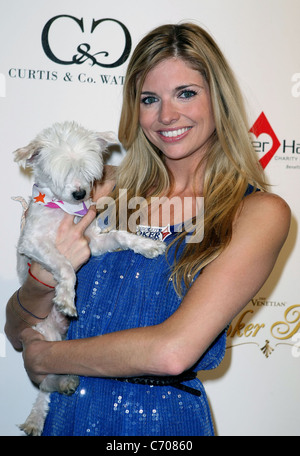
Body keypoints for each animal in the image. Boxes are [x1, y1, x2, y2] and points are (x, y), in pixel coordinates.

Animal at [14, 120, 165, 434]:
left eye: (87, 171)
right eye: (59, 173)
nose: (80, 195)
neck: (65, 211)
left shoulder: (93, 242)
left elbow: (119, 235)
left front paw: (146, 245)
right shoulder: (34, 243)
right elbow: (65, 266)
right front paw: (66, 297)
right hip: (45, 335)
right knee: (46, 381)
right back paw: (48, 401)